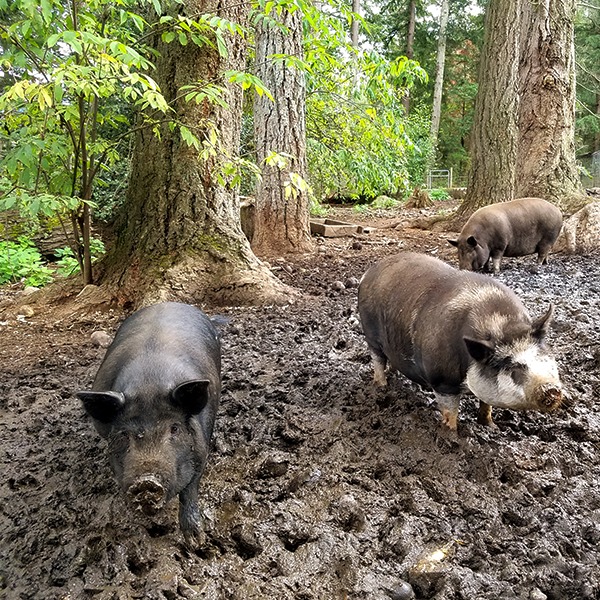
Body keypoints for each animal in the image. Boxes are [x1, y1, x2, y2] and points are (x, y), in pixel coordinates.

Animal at [76, 302, 221, 548]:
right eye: (124, 434)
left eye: (174, 428)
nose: (146, 481)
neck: (149, 384)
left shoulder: (202, 448)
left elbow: (190, 490)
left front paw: (196, 542)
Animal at [356, 253, 564, 432]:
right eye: (514, 369)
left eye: (544, 358)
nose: (551, 388)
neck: (499, 325)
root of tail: (369, 272)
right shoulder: (443, 381)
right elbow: (450, 412)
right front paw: (452, 434)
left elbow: (486, 404)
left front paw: (491, 426)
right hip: (370, 333)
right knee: (377, 359)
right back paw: (382, 387)